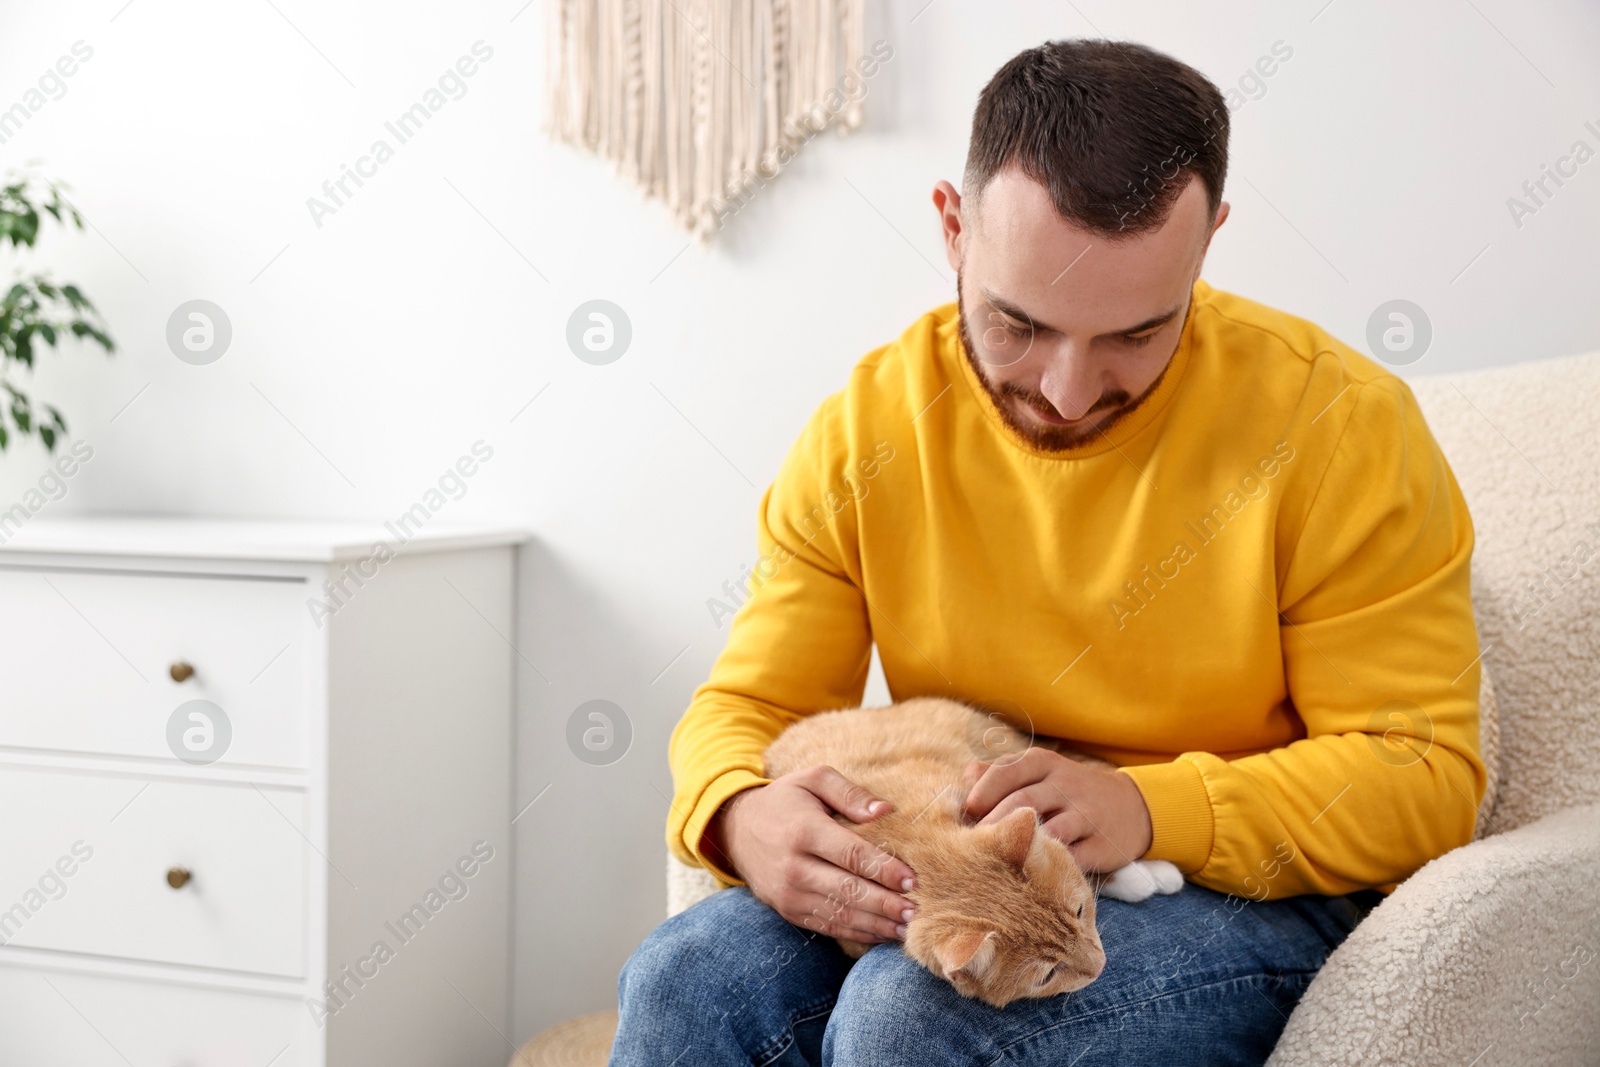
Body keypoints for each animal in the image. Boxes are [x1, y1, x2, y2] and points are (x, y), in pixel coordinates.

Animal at [761, 697, 1190, 1004]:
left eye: (1081, 911)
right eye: (1048, 975)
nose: (1101, 966)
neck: (904, 836)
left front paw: (1145, 869)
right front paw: (1142, 876)